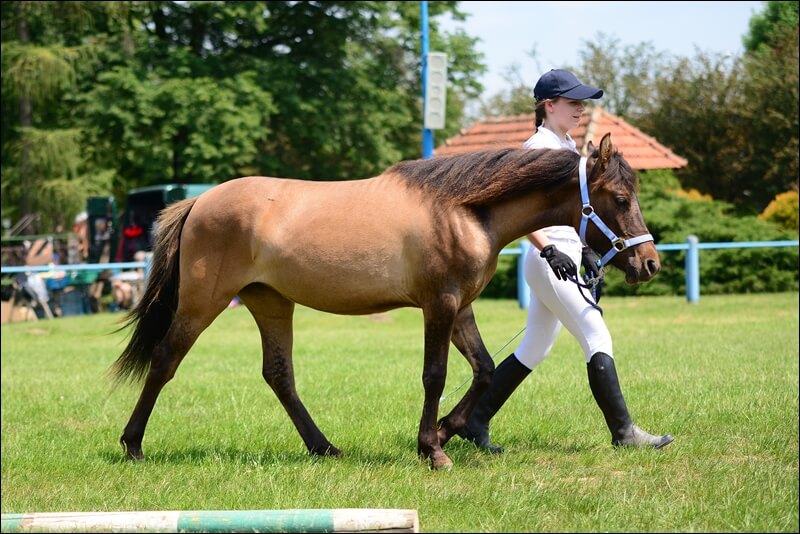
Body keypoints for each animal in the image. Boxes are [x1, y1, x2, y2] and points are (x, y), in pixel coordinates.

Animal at [114, 133, 664, 468]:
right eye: (619, 198)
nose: (650, 263)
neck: (463, 209)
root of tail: (199, 202)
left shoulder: (461, 307)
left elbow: (485, 370)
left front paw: (445, 432)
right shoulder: (439, 304)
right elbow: (435, 376)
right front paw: (433, 449)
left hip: (271, 302)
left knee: (279, 376)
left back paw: (324, 447)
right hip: (201, 304)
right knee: (164, 361)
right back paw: (133, 444)